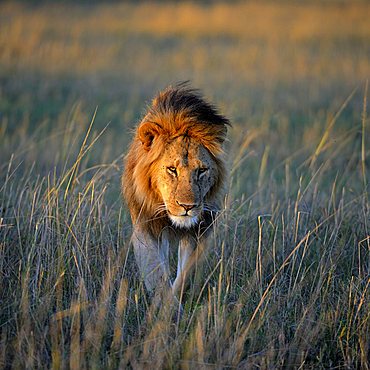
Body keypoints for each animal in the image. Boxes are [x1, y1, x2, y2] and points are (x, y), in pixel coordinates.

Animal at [123, 85, 230, 296]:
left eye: (202, 170)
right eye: (172, 169)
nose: (187, 207)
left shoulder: (199, 230)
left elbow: (186, 273)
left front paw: (176, 295)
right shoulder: (145, 225)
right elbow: (157, 274)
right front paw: (167, 303)